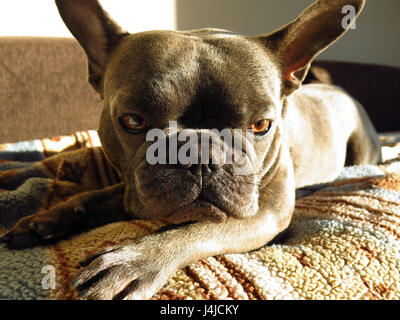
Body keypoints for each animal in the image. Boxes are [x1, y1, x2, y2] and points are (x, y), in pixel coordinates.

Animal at [0, 0, 382, 300]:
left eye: (261, 126)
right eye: (134, 120)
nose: (200, 155)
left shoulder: (265, 213)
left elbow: (195, 231)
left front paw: (133, 262)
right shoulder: (131, 188)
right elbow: (90, 196)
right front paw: (47, 218)